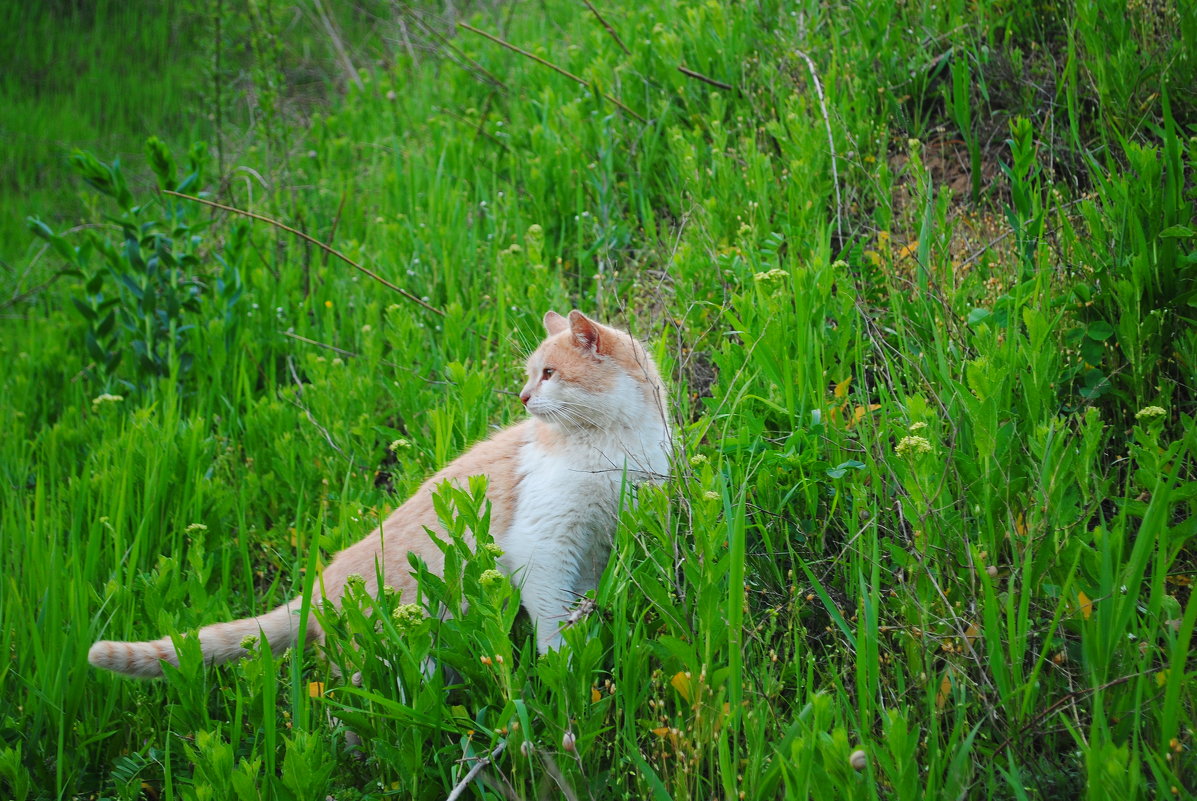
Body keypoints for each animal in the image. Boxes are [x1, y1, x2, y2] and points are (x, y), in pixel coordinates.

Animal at [88, 308, 675, 680]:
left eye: (549, 373)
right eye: (531, 376)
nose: (524, 397)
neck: (615, 443)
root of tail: (315, 592)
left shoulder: (596, 545)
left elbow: (583, 603)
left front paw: (588, 645)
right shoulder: (545, 547)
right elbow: (552, 619)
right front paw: (562, 666)